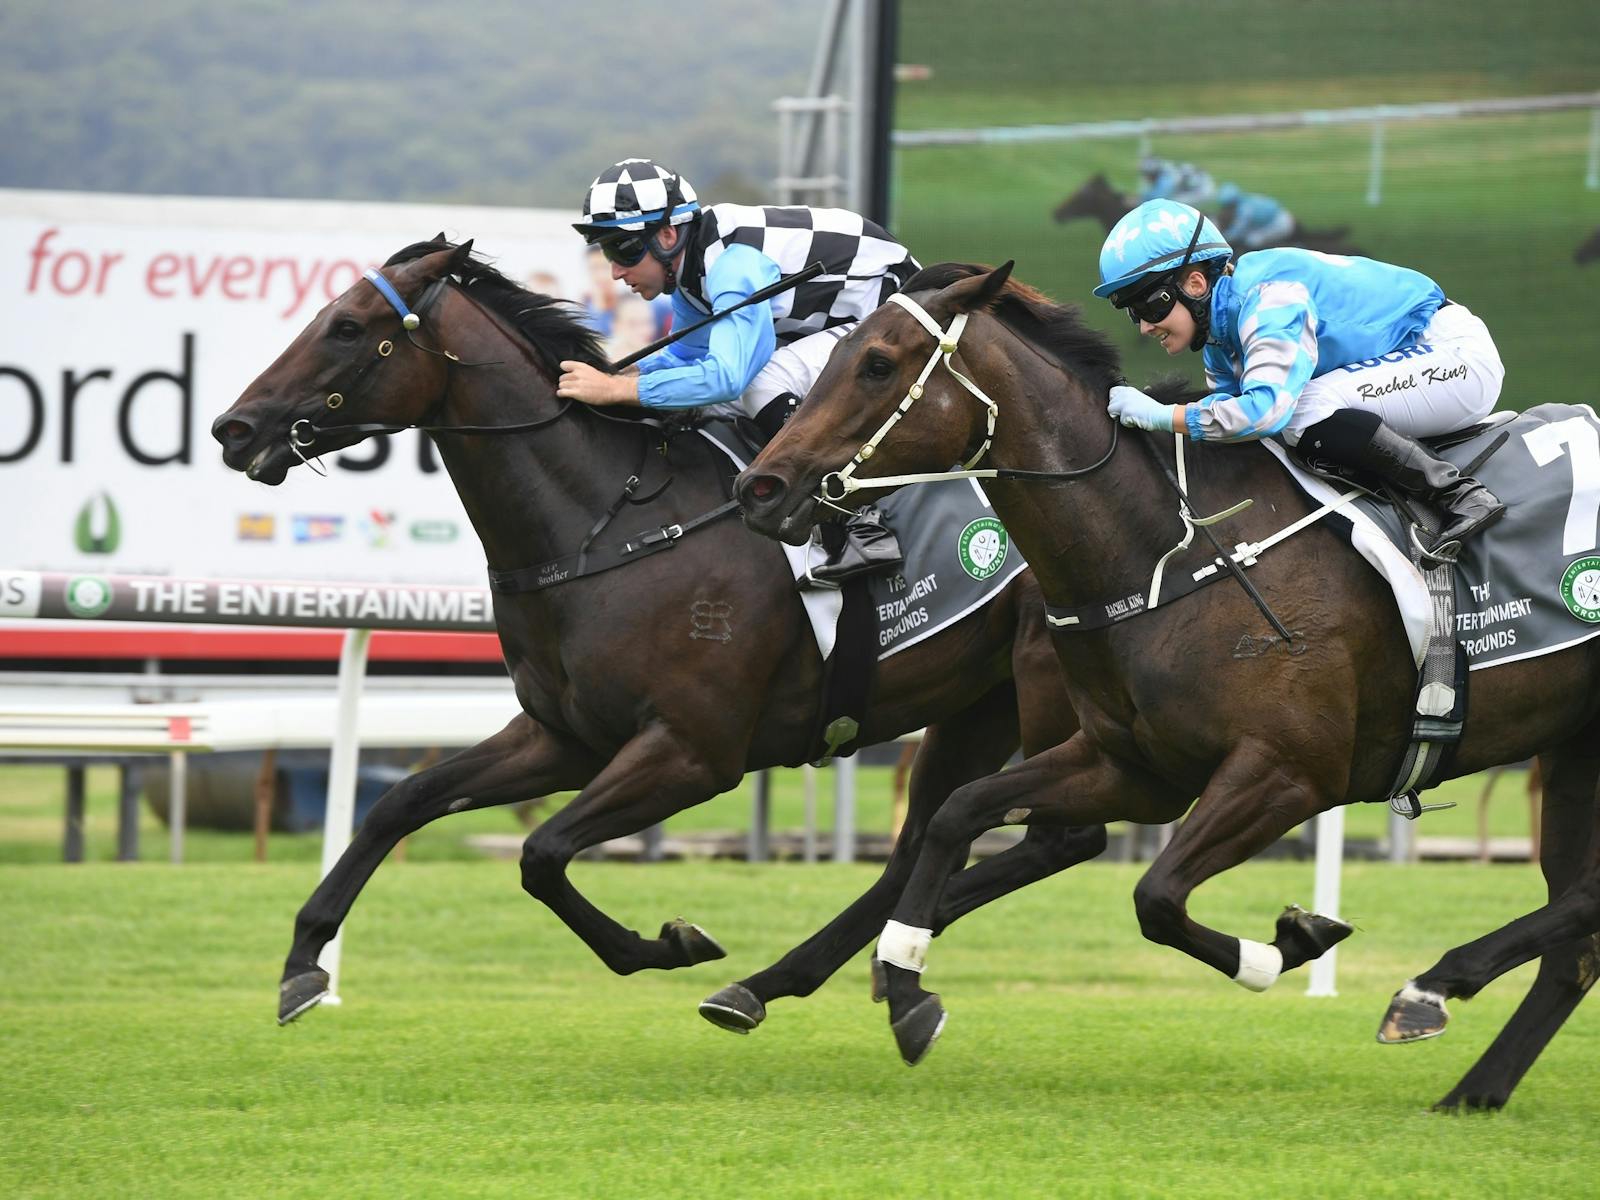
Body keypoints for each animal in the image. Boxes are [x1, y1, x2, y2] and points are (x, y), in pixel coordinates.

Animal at [209, 241, 1113, 1036]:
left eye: (348, 327)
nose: (233, 428)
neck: (603, 527)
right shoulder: (565, 737)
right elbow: (403, 802)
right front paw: (304, 965)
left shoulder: (693, 752)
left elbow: (542, 851)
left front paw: (671, 943)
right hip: (977, 704)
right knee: (919, 848)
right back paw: (772, 985)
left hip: (1054, 696)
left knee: (1061, 837)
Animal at [736, 260, 1600, 1107]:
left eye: (877, 365)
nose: (762, 488)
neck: (1168, 553)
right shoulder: (1135, 768)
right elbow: (958, 814)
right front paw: (906, 985)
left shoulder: (1290, 771)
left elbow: (1154, 896)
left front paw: (1288, 944)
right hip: (1570, 757)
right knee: (1578, 937)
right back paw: (1473, 1085)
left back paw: (1432, 988)